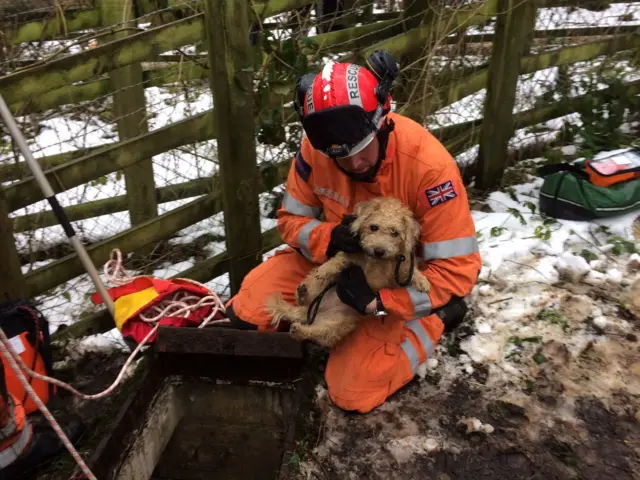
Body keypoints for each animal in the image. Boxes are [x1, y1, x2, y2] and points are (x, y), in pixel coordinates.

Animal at [262, 196, 432, 348]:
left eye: (394, 233)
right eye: (374, 227)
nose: (379, 251)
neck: (376, 262)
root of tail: (315, 311)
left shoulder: (399, 270)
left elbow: (410, 270)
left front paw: (422, 281)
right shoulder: (353, 257)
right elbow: (341, 258)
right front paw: (326, 269)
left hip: (337, 326)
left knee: (317, 332)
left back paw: (299, 330)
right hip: (317, 286)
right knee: (305, 298)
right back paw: (302, 293)